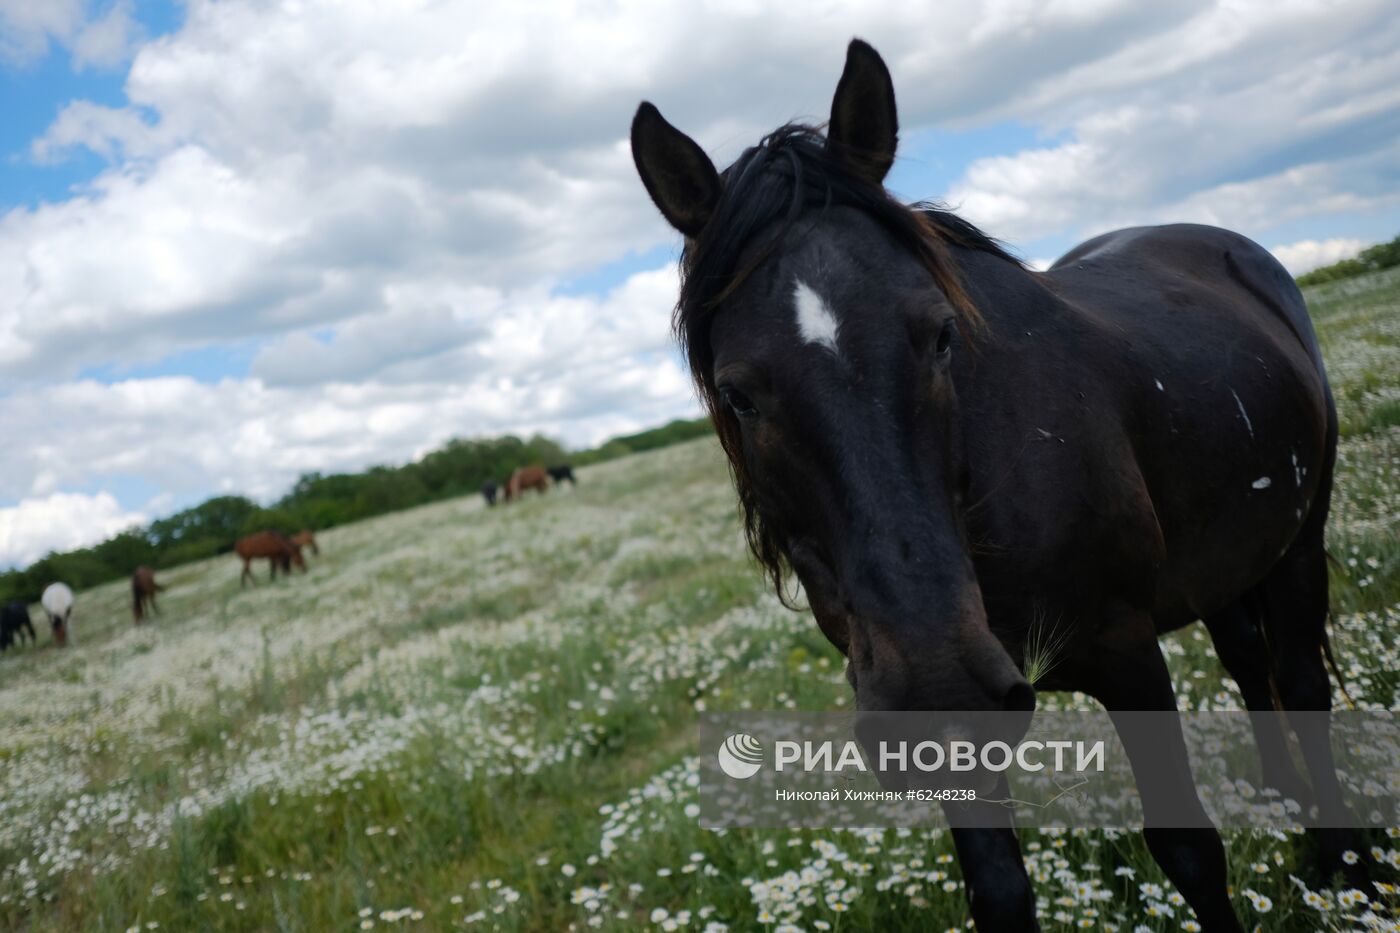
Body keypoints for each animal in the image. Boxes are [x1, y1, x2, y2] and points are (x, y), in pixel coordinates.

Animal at [635, 38, 1355, 930]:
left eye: (943, 336)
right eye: (737, 393)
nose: (937, 684)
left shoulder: (1127, 650)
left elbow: (1191, 849)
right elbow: (1000, 890)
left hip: (1299, 538)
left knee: (1302, 680)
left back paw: (1342, 863)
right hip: (1225, 558)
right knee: (1251, 664)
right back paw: (1282, 802)